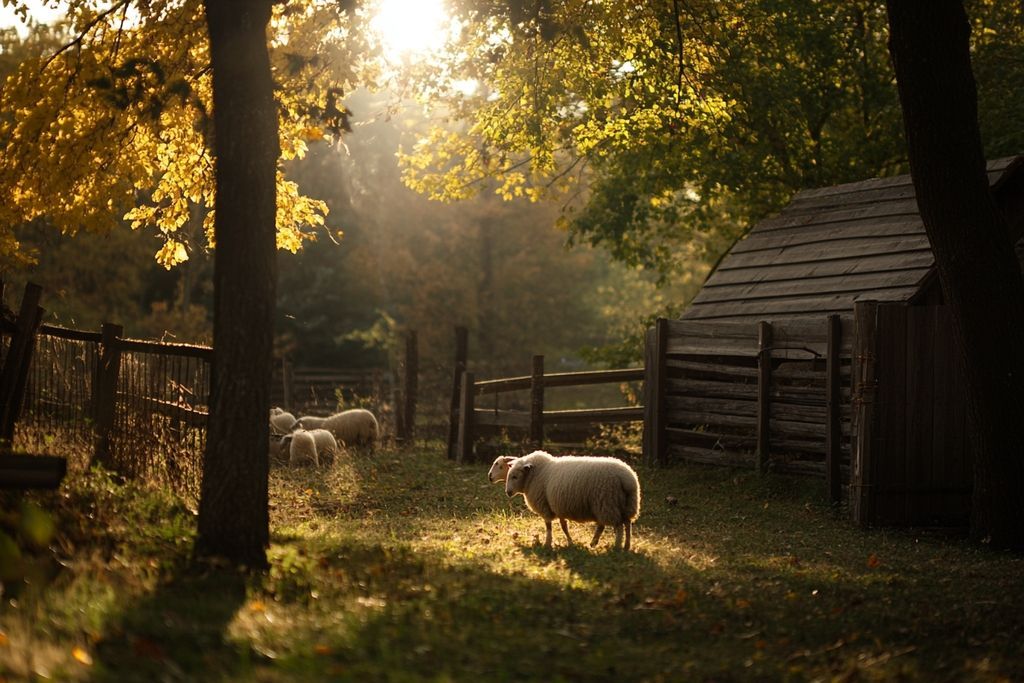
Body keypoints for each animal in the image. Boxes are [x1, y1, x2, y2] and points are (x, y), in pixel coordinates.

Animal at [504, 450, 641, 551]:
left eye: (515, 476)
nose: (508, 492)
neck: (537, 474)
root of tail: (628, 479)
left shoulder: (545, 506)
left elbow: (549, 527)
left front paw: (547, 543)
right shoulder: (557, 507)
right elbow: (564, 526)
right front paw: (570, 542)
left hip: (607, 502)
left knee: (618, 526)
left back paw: (616, 546)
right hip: (625, 505)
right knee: (626, 524)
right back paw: (624, 546)